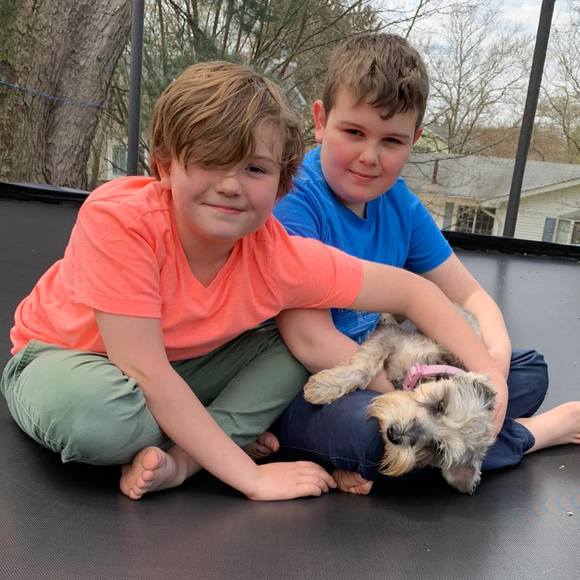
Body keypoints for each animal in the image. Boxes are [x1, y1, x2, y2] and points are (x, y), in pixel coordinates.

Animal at [303, 312, 496, 494]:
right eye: (440, 405)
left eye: (437, 448)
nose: (394, 434)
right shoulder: (393, 337)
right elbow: (365, 365)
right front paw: (324, 387)